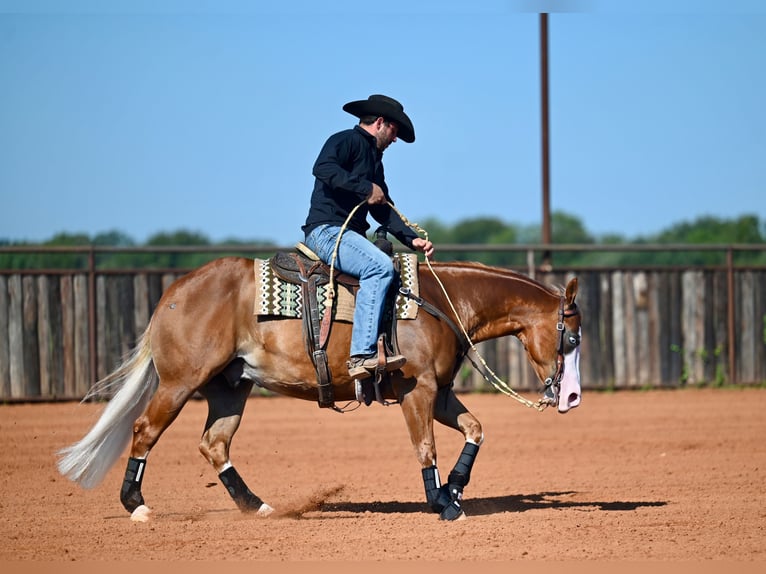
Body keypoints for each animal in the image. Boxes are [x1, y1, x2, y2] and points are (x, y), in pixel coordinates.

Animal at [57, 255, 582, 521]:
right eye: (572, 337)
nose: (571, 397)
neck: (437, 301)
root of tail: (171, 294)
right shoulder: (417, 392)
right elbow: (426, 449)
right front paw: (441, 503)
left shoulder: (440, 393)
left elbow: (475, 429)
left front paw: (454, 489)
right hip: (180, 382)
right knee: (145, 430)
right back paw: (137, 506)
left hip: (230, 387)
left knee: (214, 444)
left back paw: (257, 506)